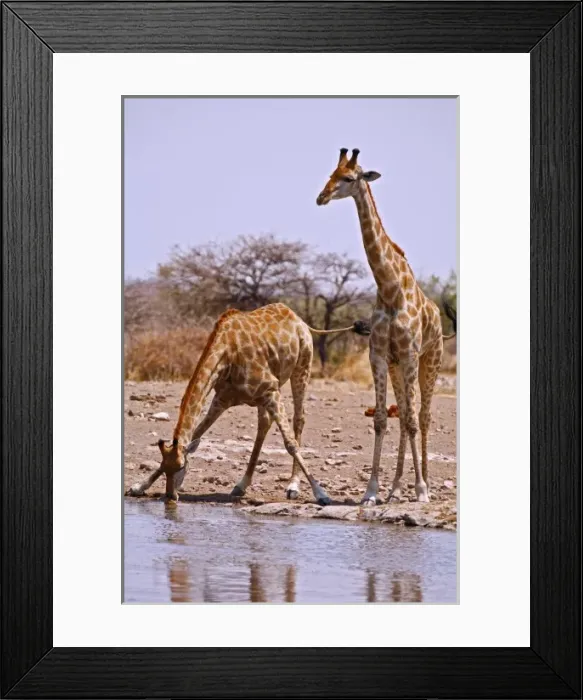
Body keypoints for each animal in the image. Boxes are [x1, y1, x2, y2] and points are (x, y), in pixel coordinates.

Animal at [126, 303, 369, 503]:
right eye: (164, 467)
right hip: (267, 392)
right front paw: (138, 486)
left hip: (301, 368)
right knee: (264, 424)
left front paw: (321, 493)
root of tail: (301, 321)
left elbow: (290, 443)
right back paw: (241, 485)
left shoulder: (270, 390)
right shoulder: (222, 399)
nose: (170, 497)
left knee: (298, 419)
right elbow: (196, 434)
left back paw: (293, 486)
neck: (226, 354)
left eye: (180, 467)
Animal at [316, 148, 456, 505]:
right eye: (330, 174)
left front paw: (421, 490)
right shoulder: (379, 355)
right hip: (397, 366)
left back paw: (425, 484)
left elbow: (412, 420)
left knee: (422, 417)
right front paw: (372, 491)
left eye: (348, 178)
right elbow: (382, 419)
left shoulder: (409, 354)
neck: (390, 289)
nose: (321, 197)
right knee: (404, 413)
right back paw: (394, 488)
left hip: (430, 361)